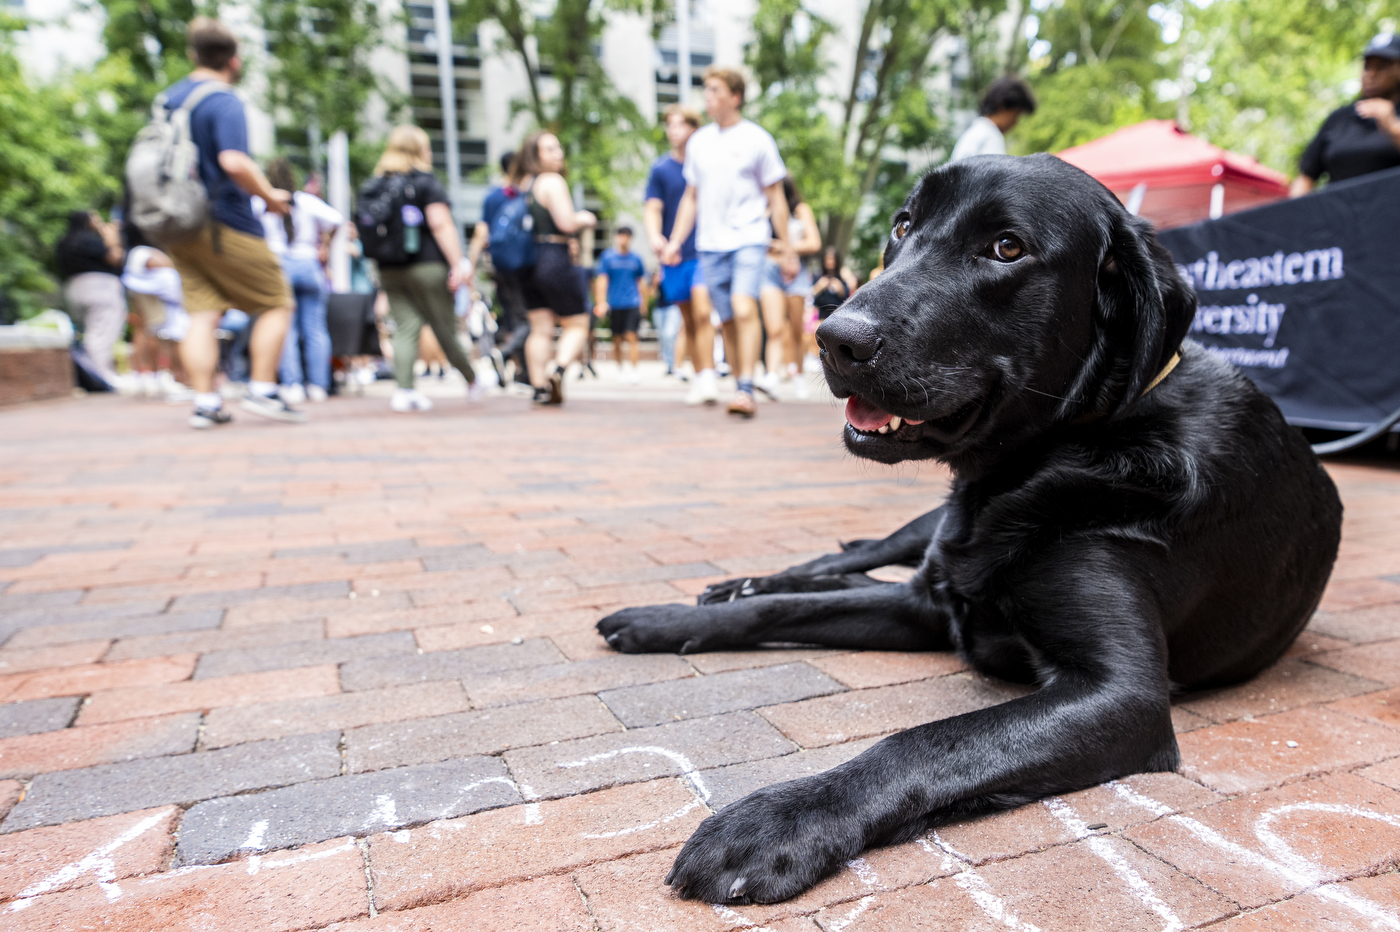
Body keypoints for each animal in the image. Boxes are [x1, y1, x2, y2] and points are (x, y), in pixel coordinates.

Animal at [593, 152, 1344, 901]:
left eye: (1006, 248)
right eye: (903, 224)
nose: (833, 339)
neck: (1049, 458)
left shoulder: (1120, 695)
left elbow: (925, 740)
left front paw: (776, 820)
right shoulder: (931, 605)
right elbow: (784, 609)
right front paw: (665, 619)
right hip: (923, 535)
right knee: (848, 560)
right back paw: (735, 585)